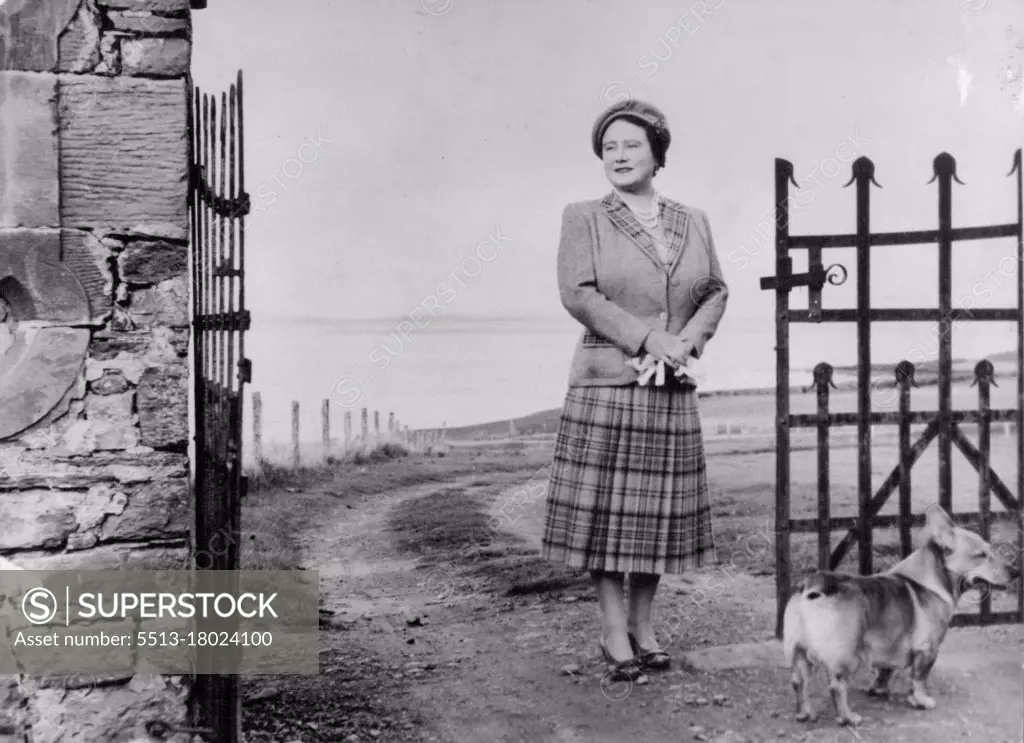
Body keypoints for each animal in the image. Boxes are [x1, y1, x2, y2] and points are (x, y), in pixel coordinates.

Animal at [782, 505, 1015, 728]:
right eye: (982, 555)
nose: (1015, 572)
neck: (931, 578)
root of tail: (815, 587)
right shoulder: (928, 650)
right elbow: (919, 679)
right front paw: (921, 700)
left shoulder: (890, 646)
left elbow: (885, 672)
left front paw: (879, 690)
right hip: (846, 657)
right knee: (837, 686)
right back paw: (848, 717)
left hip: (798, 652)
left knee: (799, 682)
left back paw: (804, 714)